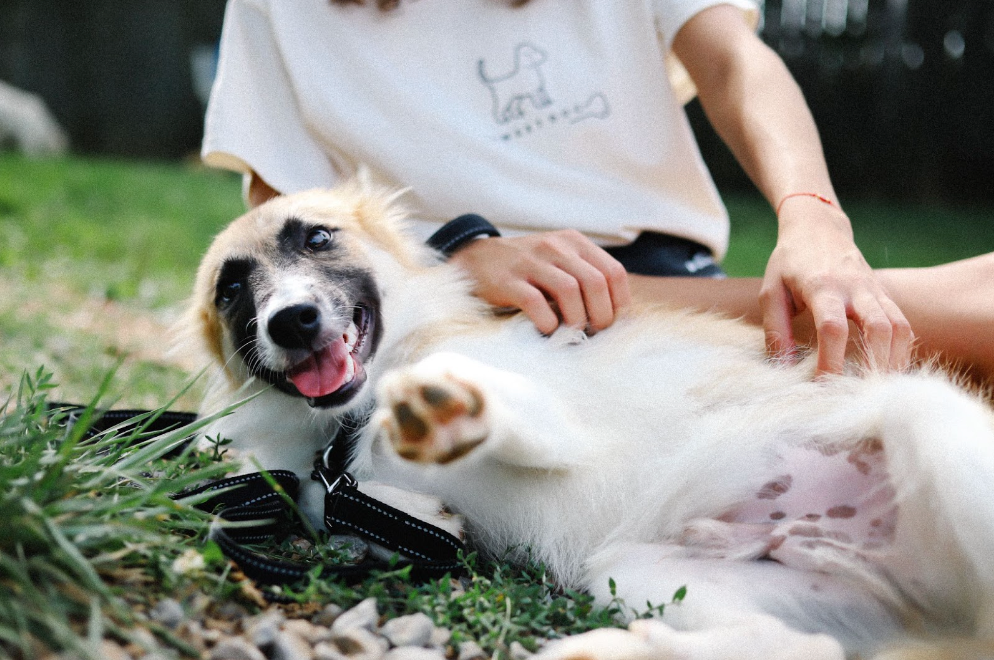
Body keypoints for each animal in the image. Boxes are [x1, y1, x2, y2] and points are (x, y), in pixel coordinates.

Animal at [182, 180, 992, 660]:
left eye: (317, 237)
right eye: (230, 288)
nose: (291, 321)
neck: (353, 415)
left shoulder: (557, 416)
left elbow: (518, 415)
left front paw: (449, 417)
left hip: (931, 427)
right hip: (643, 572)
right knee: (801, 650)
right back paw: (611, 648)